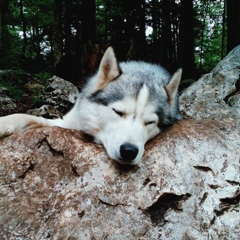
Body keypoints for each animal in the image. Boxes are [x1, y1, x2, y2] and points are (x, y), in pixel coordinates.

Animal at [0, 47, 182, 166]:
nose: (129, 151)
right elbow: (25, 116)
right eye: (118, 112)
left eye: (150, 122)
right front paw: (4, 123)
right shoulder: (63, 123)